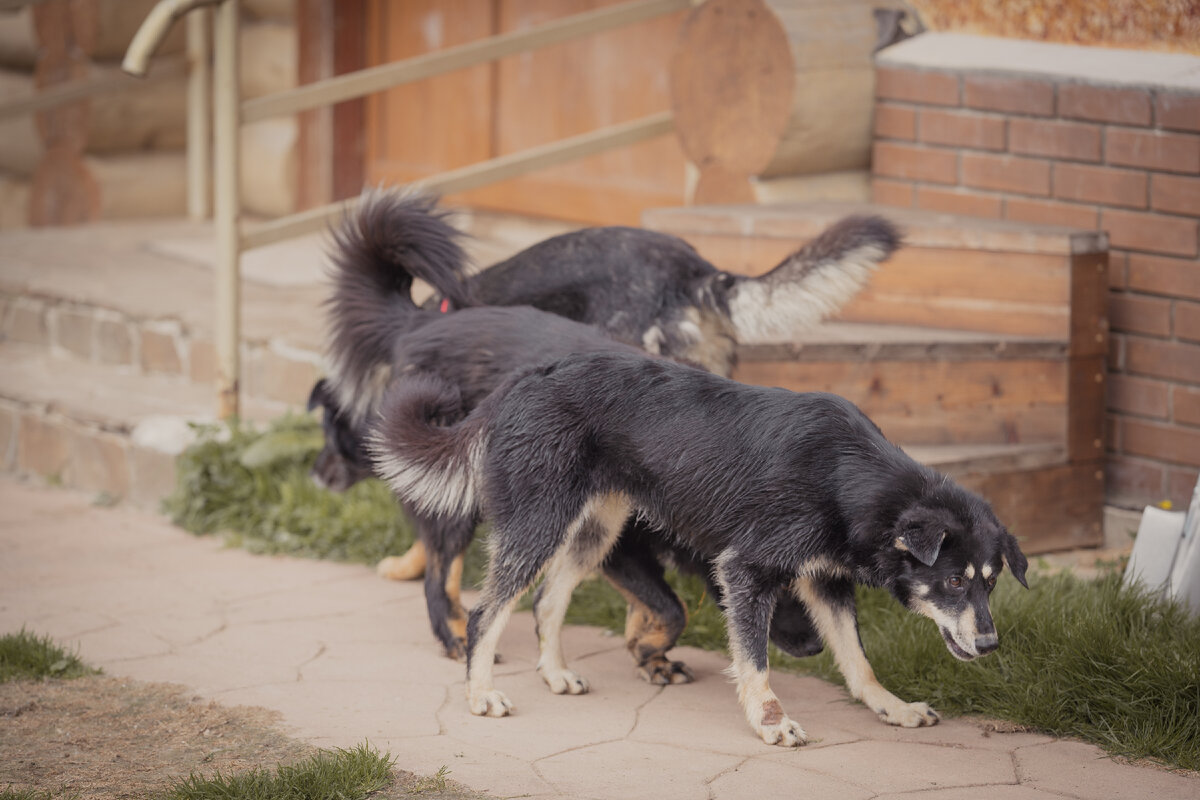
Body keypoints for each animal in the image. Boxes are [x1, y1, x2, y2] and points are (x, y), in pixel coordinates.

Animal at [372, 352, 1032, 748]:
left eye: (991, 581)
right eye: (954, 580)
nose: (990, 644)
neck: (851, 477)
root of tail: (526, 375)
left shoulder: (825, 583)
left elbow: (858, 661)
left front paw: (890, 708)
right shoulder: (746, 572)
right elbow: (756, 661)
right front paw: (769, 722)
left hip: (594, 532)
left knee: (547, 602)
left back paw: (555, 672)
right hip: (539, 524)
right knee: (487, 611)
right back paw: (480, 692)